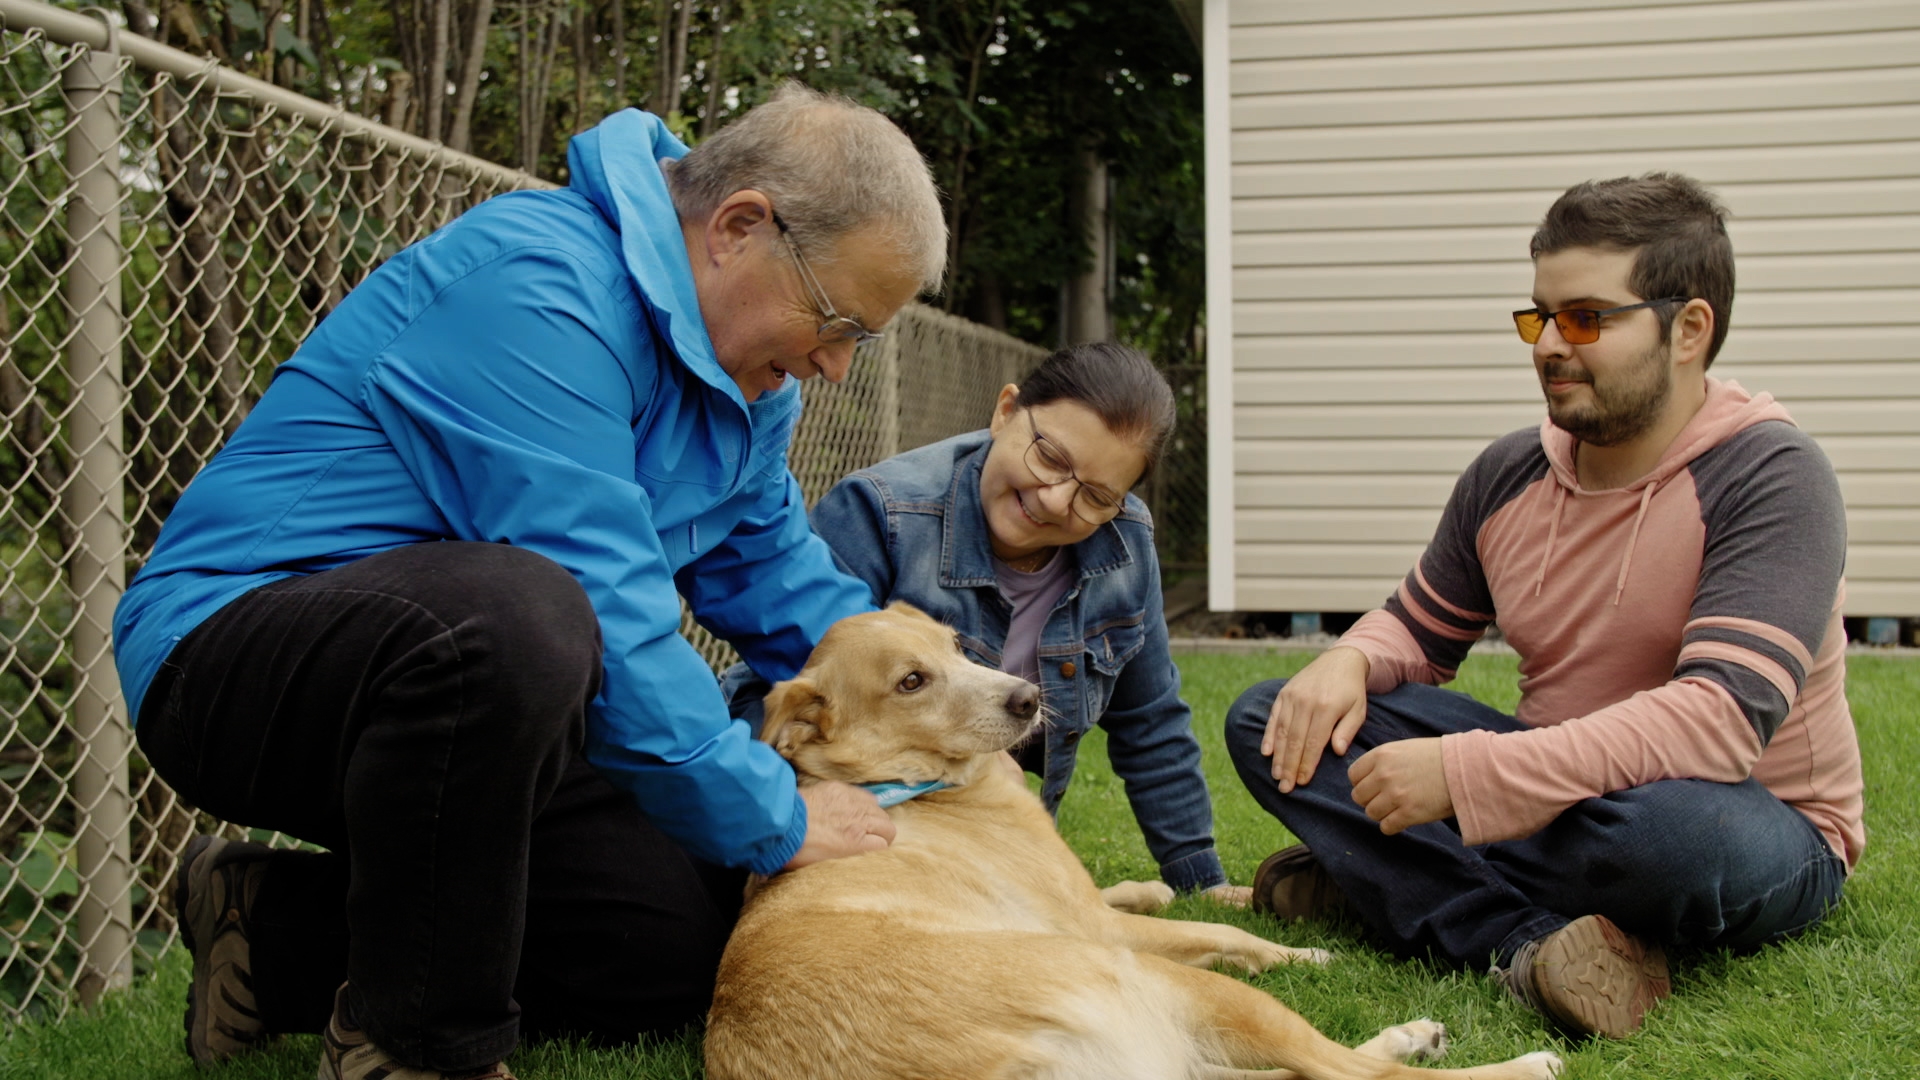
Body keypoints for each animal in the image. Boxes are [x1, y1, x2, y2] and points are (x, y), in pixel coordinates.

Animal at [706, 599, 1559, 1076]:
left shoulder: (1088, 903)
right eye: (910, 682)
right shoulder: (1095, 927)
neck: (908, 781)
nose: (1027, 699)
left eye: (953, 645)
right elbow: (1225, 931)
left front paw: (1154, 886)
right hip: (1165, 987)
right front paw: (1306, 955)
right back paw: (1518, 1063)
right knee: (1352, 1076)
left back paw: (1412, 1035)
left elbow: (1140, 894)